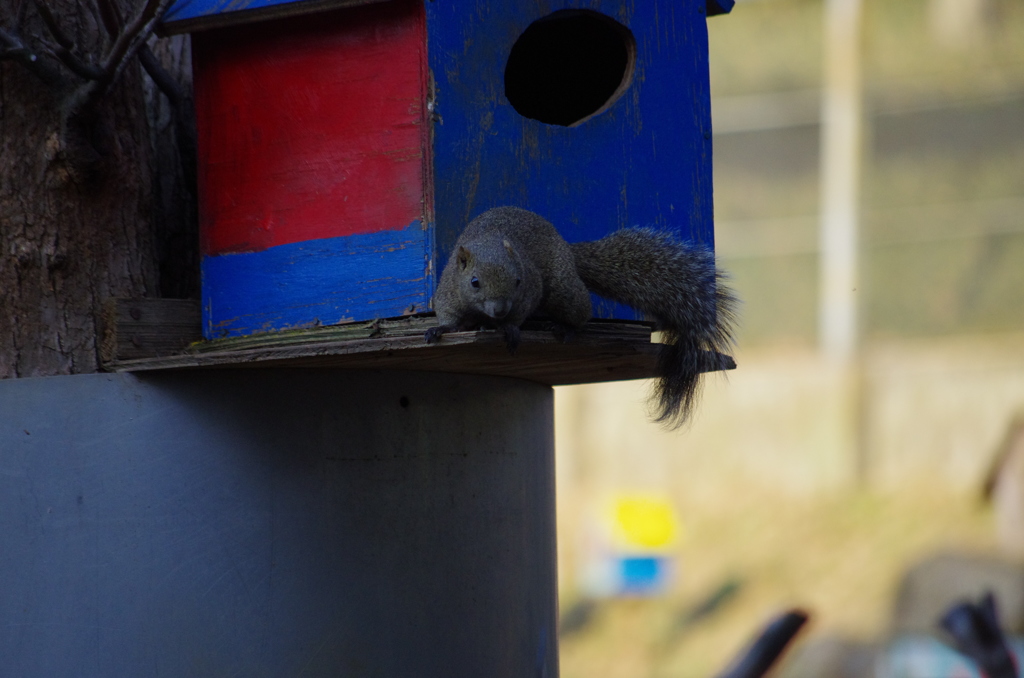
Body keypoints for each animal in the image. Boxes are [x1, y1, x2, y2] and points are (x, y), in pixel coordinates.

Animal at [423, 206, 737, 430]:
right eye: (474, 282)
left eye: (518, 281)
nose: (500, 310)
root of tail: (567, 249)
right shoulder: (448, 290)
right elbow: (449, 316)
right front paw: (441, 330)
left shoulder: (529, 292)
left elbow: (520, 314)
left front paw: (511, 328)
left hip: (563, 290)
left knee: (581, 312)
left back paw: (565, 327)